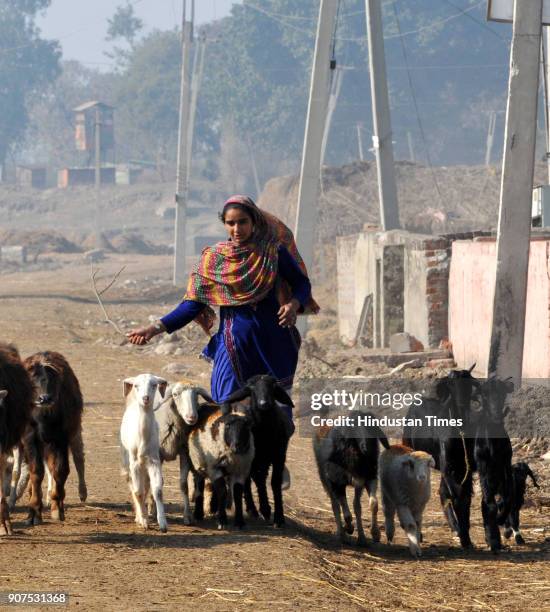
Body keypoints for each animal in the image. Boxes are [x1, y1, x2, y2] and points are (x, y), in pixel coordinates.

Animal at [23, 352, 85, 524]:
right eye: (32, 380)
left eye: (52, 381)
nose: (44, 398)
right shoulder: (30, 439)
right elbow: (36, 472)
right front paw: (34, 512)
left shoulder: (60, 439)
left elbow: (60, 470)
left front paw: (57, 508)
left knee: (77, 459)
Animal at [122, 372, 169, 532]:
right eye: (136, 385)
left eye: (154, 385)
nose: (145, 398)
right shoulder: (134, 462)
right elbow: (138, 492)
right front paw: (142, 520)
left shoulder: (154, 460)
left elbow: (158, 491)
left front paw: (163, 524)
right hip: (127, 461)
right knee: (133, 486)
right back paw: (139, 516)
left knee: (147, 485)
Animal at [223, 376, 296, 528]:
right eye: (251, 388)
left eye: (273, 386)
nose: (264, 403)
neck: (265, 431)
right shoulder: (255, 459)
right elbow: (258, 479)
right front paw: (265, 509)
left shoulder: (279, 455)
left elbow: (275, 482)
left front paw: (279, 517)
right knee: (248, 480)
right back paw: (253, 509)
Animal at [312, 414, 390, 548]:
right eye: (353, 430)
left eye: (370, 428)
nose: (366, 447)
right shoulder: (336, 483)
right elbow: (346, 513)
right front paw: (348, 528)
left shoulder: (369, 478)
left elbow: (373, 504)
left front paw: (375, 534)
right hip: (325, 478)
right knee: (335, 504)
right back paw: (342, 534)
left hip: (358, 484)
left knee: (356, 506)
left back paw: (362, 538)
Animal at [404, 366, 480, 548]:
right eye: (451, 385)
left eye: (469, 384)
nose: (461, 405)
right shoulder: (449, 468)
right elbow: (456, 497)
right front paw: (464, 537)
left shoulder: (465, 470)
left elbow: (464, 498)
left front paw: (465, 536)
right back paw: (419, 533)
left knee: (442, 493)